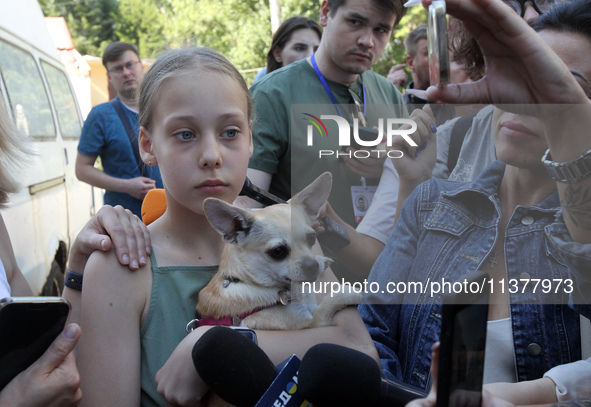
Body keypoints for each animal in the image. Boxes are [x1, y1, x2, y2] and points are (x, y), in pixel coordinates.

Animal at [197, 172, 358, 332]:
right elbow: (329, 302)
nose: (313, 266)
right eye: (278, 251)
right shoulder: (312, 322)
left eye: (312, 238)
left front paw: (321, 260)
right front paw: (349, 292)